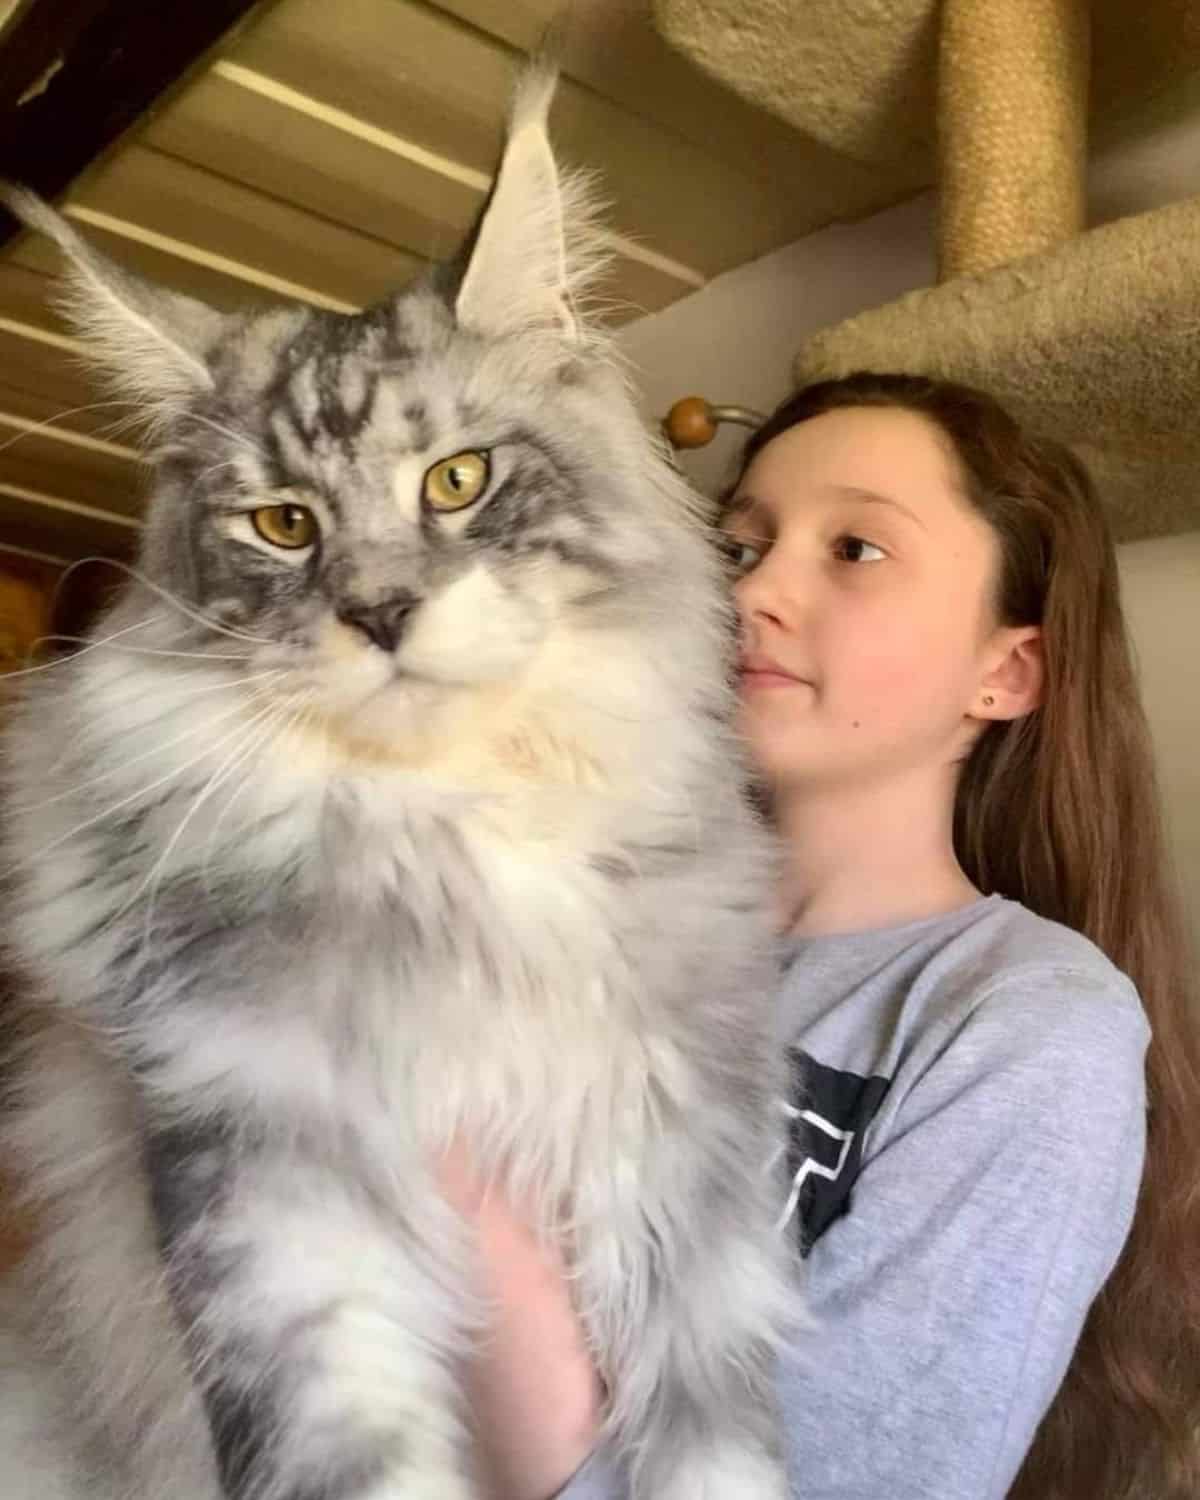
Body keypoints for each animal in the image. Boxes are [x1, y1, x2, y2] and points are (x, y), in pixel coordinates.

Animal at [0, 67, 798, 1500]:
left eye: (457, 480)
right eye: (285, 526)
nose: (377, 612)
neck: (459, 825)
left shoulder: (676, 1134)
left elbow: (708, 1433)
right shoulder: (266, 1158)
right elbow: (348, 1444)